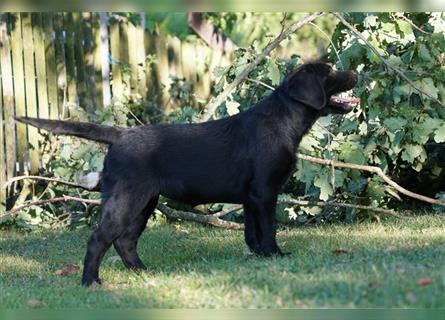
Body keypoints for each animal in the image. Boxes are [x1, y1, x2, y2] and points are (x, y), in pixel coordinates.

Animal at [15, 62, 360, 284]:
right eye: (330, 72)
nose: (355, 72)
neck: (283, 120)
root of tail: (119, 134)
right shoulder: (264, 192)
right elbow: (269, 230)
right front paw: (277, 255)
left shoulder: (251, 197)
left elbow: (252, 234)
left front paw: (260, 257)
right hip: (127, 199)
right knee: (99, 239)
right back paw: (90, 281)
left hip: (145, 202)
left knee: (125, 241)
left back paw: (143, 272)